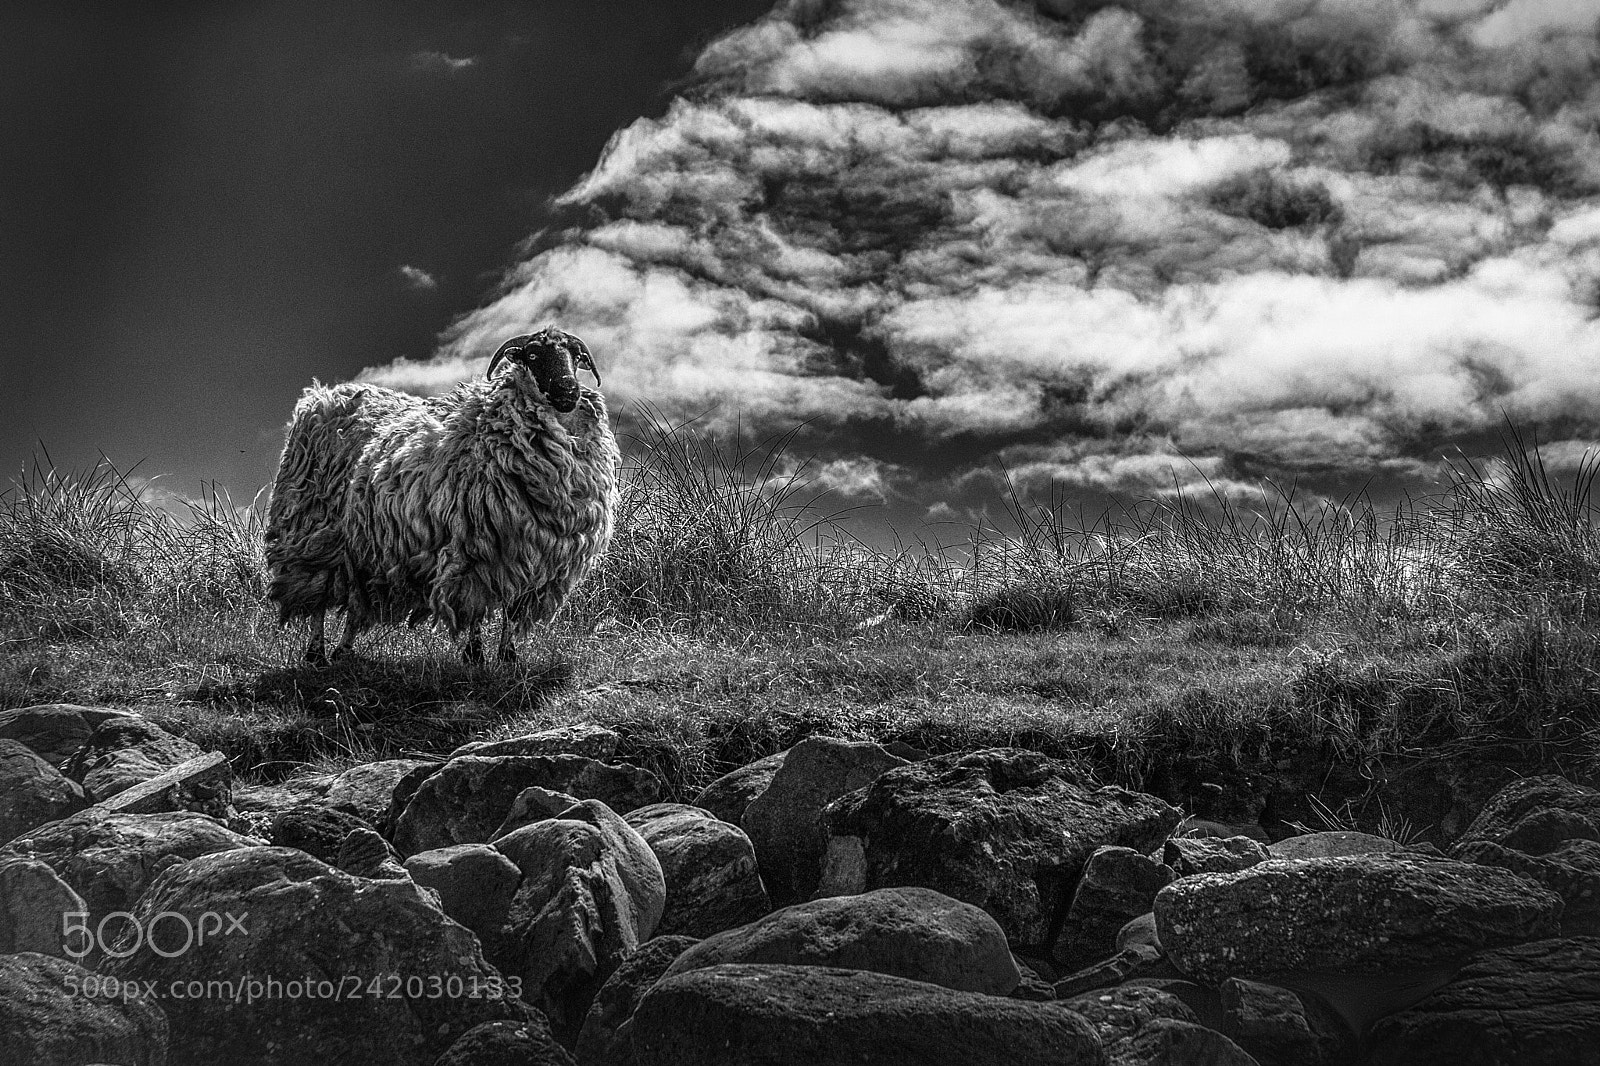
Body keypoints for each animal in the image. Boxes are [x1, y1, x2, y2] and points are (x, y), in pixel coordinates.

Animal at [263, 326, 620, 665]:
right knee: (318, 595)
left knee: (356, 595)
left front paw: (508, 656)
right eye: (532, 355)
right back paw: (316, 654)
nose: (568, 391)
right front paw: (475, 655)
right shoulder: (476, 545)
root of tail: (324, 395)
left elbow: (509, 608)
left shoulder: (527, 551)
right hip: (314, 528)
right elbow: (474, 605)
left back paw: (343, 651)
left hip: (362, 544)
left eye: (576, 356)